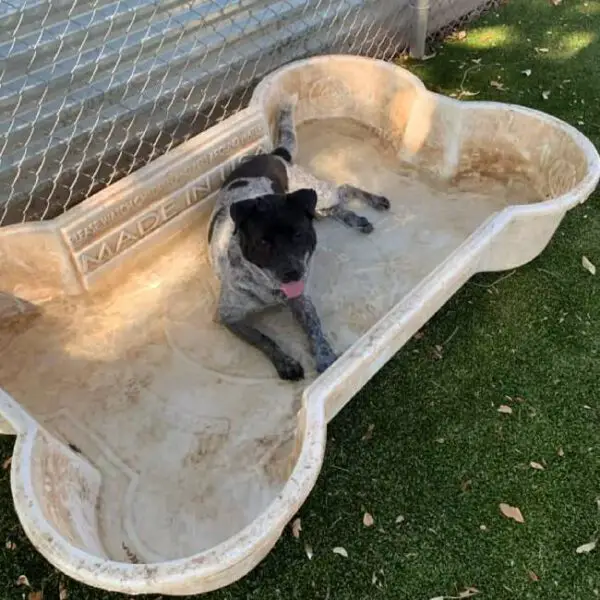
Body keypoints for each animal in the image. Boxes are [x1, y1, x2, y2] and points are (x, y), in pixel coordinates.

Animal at [209, 98, 392, 380]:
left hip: (317, 193)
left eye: (298, 235)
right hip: (315, 205)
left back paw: (372, 202)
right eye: (263, 243)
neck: (269, 289)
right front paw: (285, 362)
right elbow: (263, 339)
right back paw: (355, 219)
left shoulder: (301, 300)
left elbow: (314, 327)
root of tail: (275, 154)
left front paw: (325, 357)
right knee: (334, 207)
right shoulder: (229, 316)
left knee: (344, 188)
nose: (293, 273)